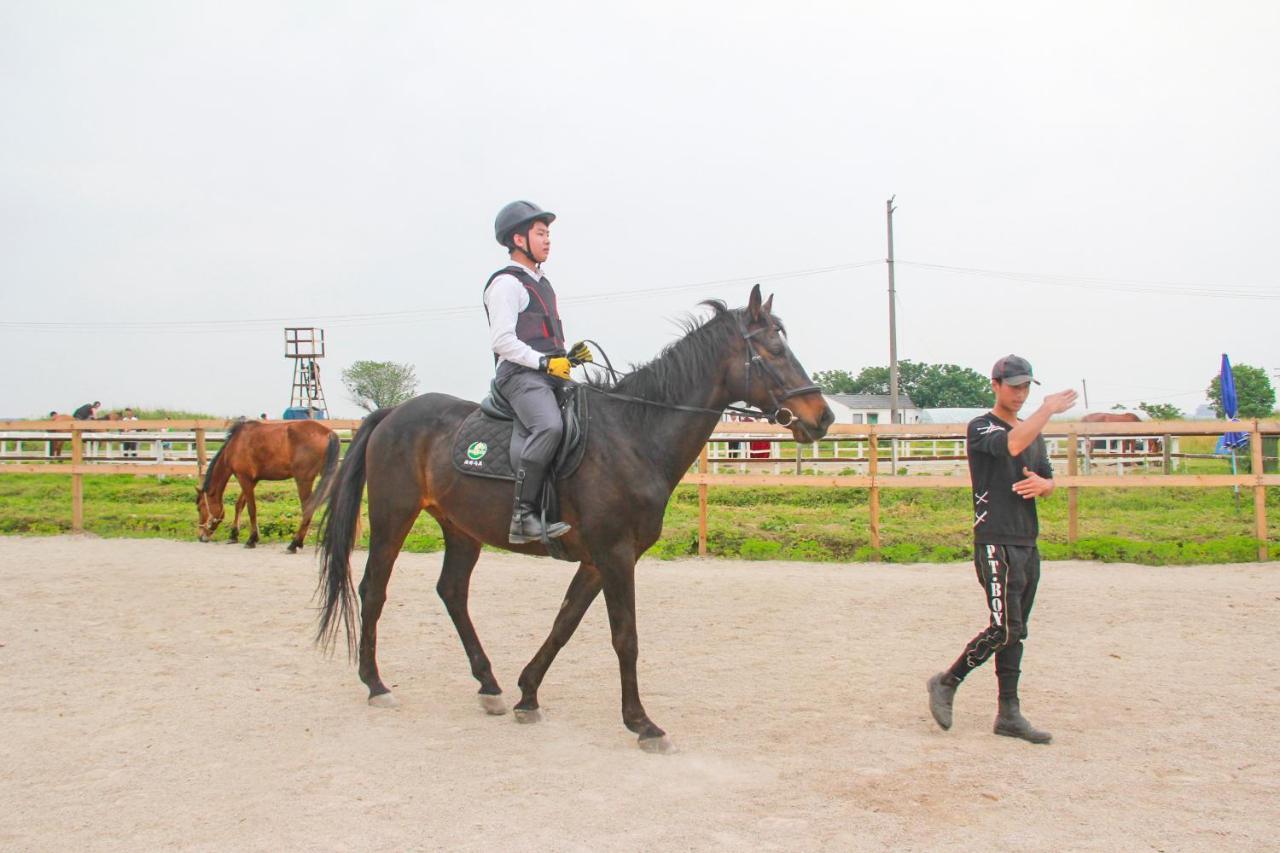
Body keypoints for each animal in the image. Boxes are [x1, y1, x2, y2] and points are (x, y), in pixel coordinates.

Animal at [195, 417, 340, 550]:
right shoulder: (252, 480)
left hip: (303, 480)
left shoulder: (244, 478)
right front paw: (234, 535)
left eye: (199, 508)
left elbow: (251, 509)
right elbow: (239, 505)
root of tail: (328, 433)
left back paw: (294, 543)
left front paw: (252, 539)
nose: (201, 536)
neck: (235, 444)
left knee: (308, 508)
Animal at [314, 286, 834, 753]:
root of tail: (392, 413)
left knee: (452, 592)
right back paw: (376, 684)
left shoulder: (599, 559)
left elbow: (564, 623)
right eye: (773, 350)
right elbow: (625, 637)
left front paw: (527, 694)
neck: (633, 435)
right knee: (373, 590)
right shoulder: (615, 554)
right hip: (393, 517)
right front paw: (642, 723)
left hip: (460, 529)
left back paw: (489, 685)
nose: (823, 418)